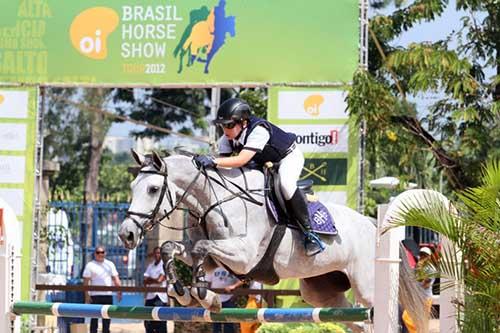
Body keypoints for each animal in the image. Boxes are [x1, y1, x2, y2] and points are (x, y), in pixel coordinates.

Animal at [117, 151, 426, 332]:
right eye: (132, 187)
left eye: (153, 189)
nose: (126, 234)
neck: (213, 198)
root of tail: (373, 225)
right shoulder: (215, 258)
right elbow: (174, 248)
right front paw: (182, 291)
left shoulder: (244, 256)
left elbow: (201, 249)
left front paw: (204, 294)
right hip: (321, 292)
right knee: (357, 322)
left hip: (368, 288)